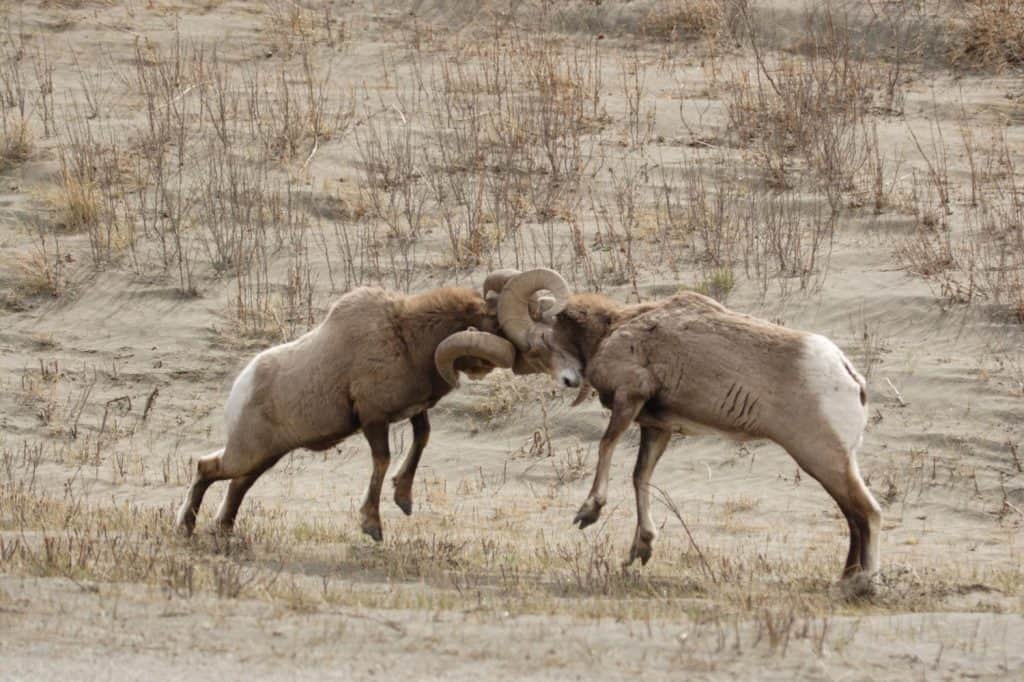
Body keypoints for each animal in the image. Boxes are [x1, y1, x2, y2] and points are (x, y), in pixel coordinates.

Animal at [176, 282, 519, 543]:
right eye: (493, 325)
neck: (405, 339)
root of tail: (241, 386)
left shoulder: (413, 412)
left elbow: (422, 439)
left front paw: (403, 499)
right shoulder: (373, 417)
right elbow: (383, 460)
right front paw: (372, 526)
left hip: (263, 458)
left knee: (236, 486)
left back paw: (222, 529)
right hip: (247, 455)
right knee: (207, 468)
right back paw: (186, 527)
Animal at [494, 269, 882, 586]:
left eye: (540, 341)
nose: (569, 381)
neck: (613, 330)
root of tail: (849, 376)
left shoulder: (629, 398)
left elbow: (605, 447)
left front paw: (589, 512)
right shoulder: (657, 428)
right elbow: (640, 477)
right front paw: (641, 549)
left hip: (821, 459)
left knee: (867, 514)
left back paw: (860, 585)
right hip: (833, 463)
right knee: (854, 517)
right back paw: (846, 579)